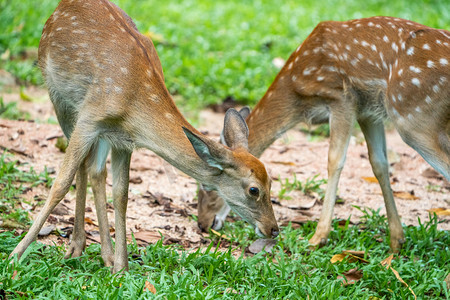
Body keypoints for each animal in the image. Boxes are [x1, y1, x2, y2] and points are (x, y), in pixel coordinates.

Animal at [9, 0, 278, 274]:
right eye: (254, 190)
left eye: (271, 182)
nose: (274, 229)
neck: (131, 103)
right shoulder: (88, 118)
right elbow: (61, 183)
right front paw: (15, 256)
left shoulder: (124, 140)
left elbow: (121, 194)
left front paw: (121, 268)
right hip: (58, 96)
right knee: (82, 167)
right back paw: (75, 247)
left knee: (95, 171)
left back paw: (100, 254)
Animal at [198, 15, 450, 251]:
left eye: (205, 185)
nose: (203, 224)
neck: (298, 96)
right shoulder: (369, 111)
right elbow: (379, 163)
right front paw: (397, 241)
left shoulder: (341, 97)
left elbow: (334, 160)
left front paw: (318, 237)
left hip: (413, 117)